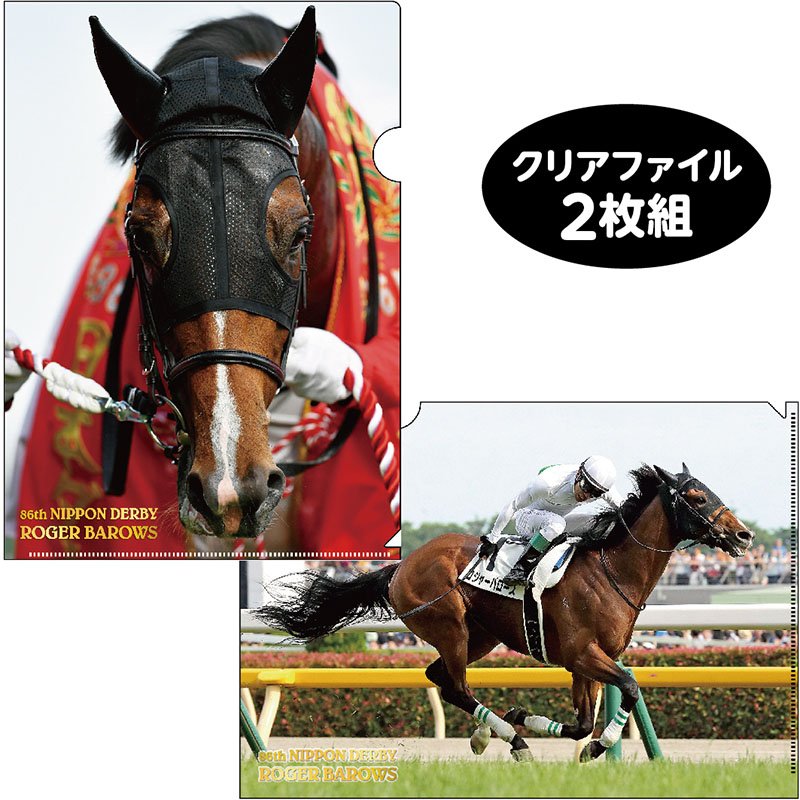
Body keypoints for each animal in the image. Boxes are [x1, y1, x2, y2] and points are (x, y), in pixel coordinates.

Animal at [253, 463, 754, 761]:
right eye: (697, 496)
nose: (744, 535)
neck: (612, 571)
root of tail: (400, 566)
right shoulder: (583, 654)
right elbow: (628, 688)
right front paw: (597, 747)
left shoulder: (583, 662)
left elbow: (581, 722)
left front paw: (530, 718)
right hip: (450, 626)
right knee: (456, 687)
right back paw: (507, 740)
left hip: (481, 636)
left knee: (439, 677)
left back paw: (496, 732)